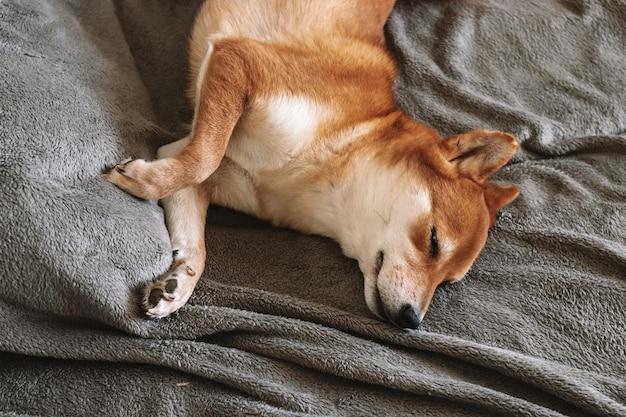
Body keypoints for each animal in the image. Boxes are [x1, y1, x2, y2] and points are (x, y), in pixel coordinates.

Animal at [105, 0, 520, 328]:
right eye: (433, 241)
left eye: (447, 282)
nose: (411, 320)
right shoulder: (237, 59)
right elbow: (203, 158)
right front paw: (138, 181)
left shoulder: (195, 164)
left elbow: (195, 235)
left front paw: (179, 282)